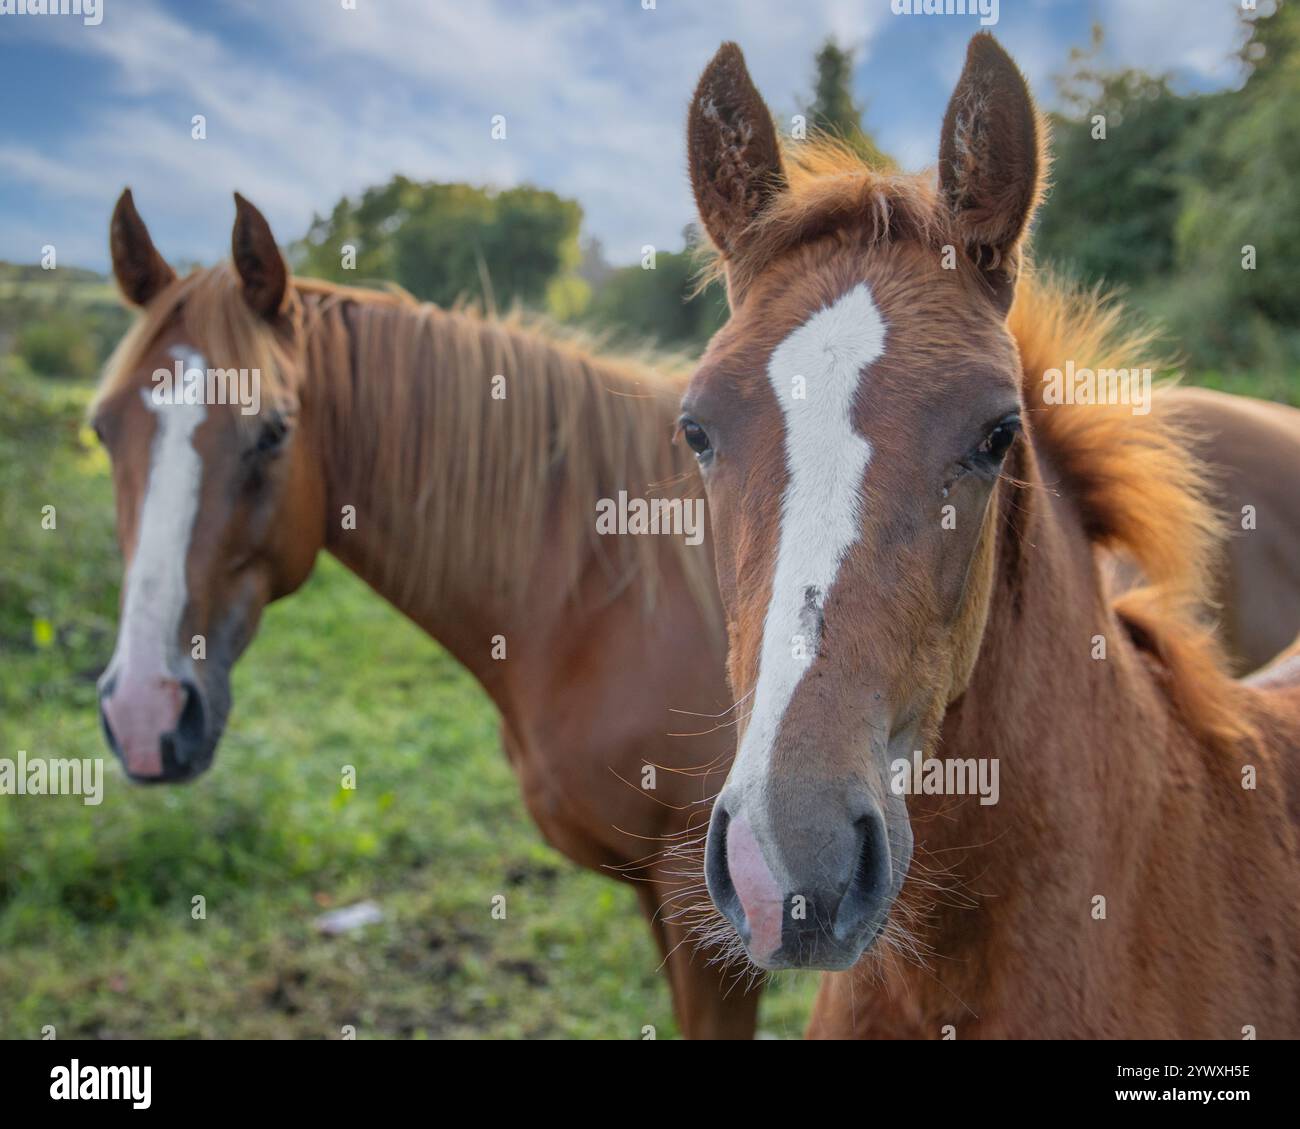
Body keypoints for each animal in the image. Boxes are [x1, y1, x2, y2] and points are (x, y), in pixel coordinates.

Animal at [92, 190, 761, 1039]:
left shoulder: (706, 916)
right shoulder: (659, 898)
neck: (606, 596)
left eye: (273, 431)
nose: (144, 714)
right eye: (102, 429)